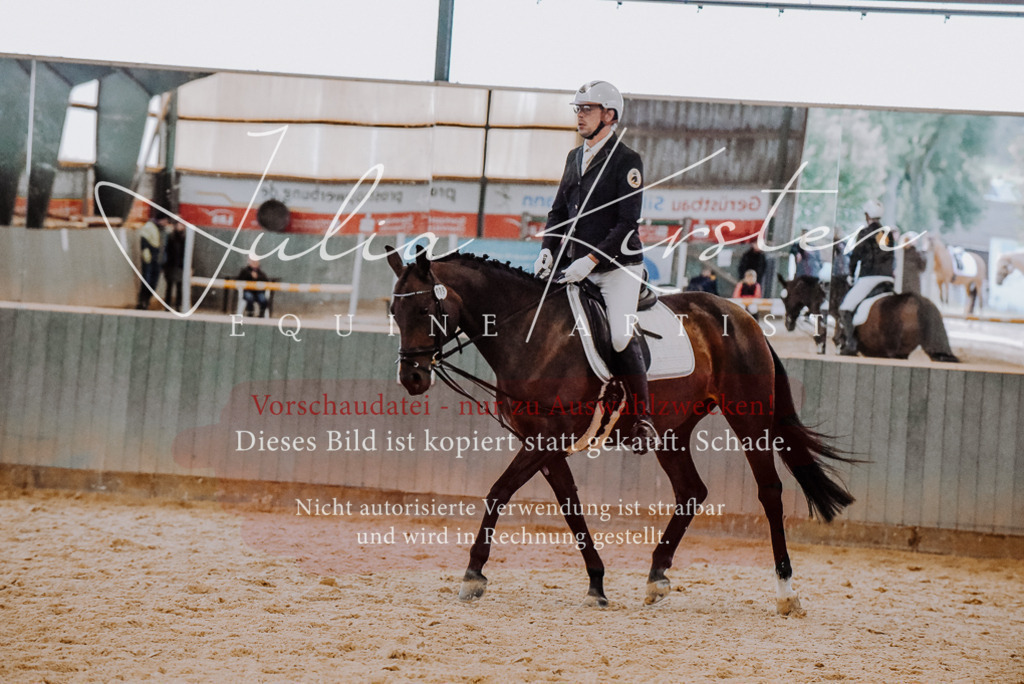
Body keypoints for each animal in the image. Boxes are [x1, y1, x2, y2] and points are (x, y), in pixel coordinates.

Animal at [387, 248, 855, 615]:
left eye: (425, 310)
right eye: (394, 312)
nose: (412, 377)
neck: (530, 335)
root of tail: (743, 317)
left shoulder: (546, 440)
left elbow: (497, 492)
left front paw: (473, 574)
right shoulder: (545, 444)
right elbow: (571, 507)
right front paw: (596, 584)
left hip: (748, 417)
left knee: (770, 492)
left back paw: (786, 591)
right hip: (672, 430)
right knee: (691, 491)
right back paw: (657, 577)